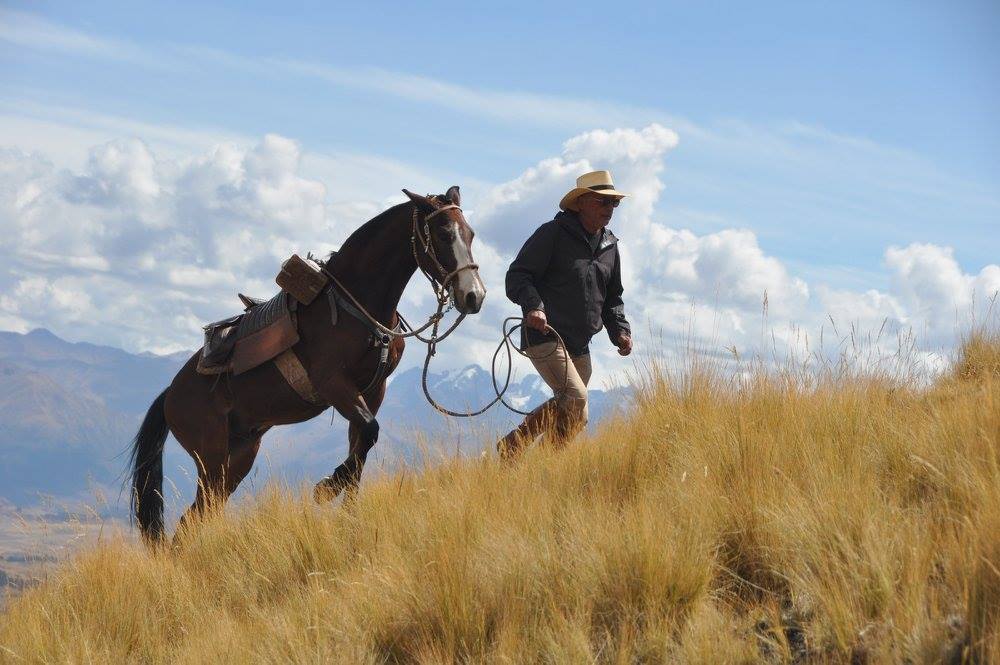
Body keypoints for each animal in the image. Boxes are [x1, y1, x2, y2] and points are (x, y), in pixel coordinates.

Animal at [129, 187, 488, 540]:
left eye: (470, 234)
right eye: (443, 234)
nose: (475, 296)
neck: (356, 306)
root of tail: (170, 394)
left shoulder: (373, 391)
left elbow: (361, 449)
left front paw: (347, 514)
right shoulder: (334, 384)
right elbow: (368, 433)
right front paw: (326, 488)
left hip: (240, 453)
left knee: (196, 518)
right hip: (211, 455)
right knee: (191, 520)